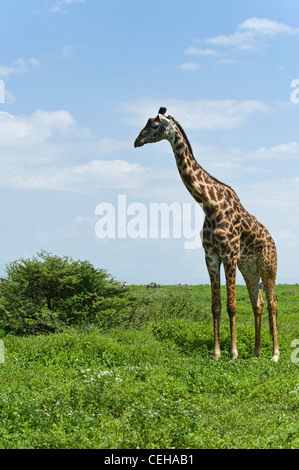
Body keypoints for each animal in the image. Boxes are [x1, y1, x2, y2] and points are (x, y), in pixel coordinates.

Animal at [135, 108, 280, 362]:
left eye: (153, 126)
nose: (136, 141)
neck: (209, 204)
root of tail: (272, 240)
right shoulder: (211, 256)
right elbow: (216, 306)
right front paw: (216, 352)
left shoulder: (229, 255)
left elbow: (232, 305)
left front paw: (233, 352)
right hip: (249, 268)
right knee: (258, 303)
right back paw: (256, 352)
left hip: (268, 264)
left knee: (272, 303)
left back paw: (274, 354)